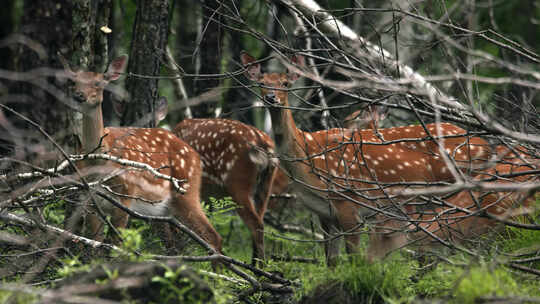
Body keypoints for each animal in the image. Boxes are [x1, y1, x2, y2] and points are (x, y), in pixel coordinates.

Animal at [61, 54, 224, 254]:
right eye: (73, 82)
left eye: (98, 83)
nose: (78, 95)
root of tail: (195, 156)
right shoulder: (89, 198)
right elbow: (95, 243)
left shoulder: (127, 194)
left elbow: (115, 244)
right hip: (167, 209)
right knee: (175, 244)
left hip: (186, 190)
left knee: (213, 236)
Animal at [243, 51, 492, 264]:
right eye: (261, 82)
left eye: (285, 83)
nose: (271, 97)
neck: (308, 159)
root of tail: (488, 147)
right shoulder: (325, 214)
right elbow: (331, 261)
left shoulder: (348, 202)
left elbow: (353, 257)